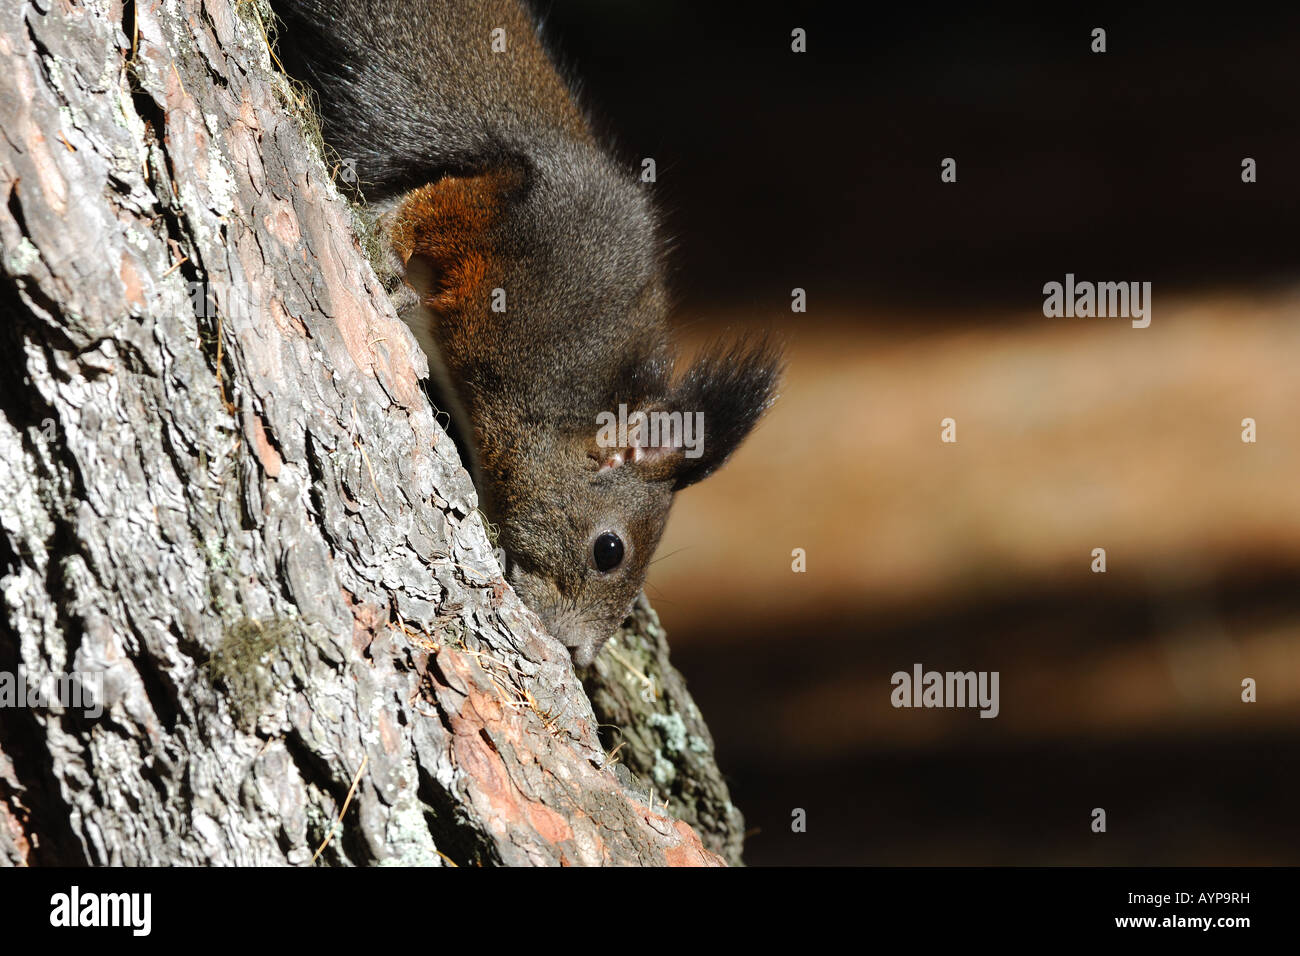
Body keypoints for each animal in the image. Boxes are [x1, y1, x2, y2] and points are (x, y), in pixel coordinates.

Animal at [271, 0, 780, 665]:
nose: (579, 654)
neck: (569, 375)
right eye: (609, 550)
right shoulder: (524, 220)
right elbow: (434, 203)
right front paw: (386, 241)